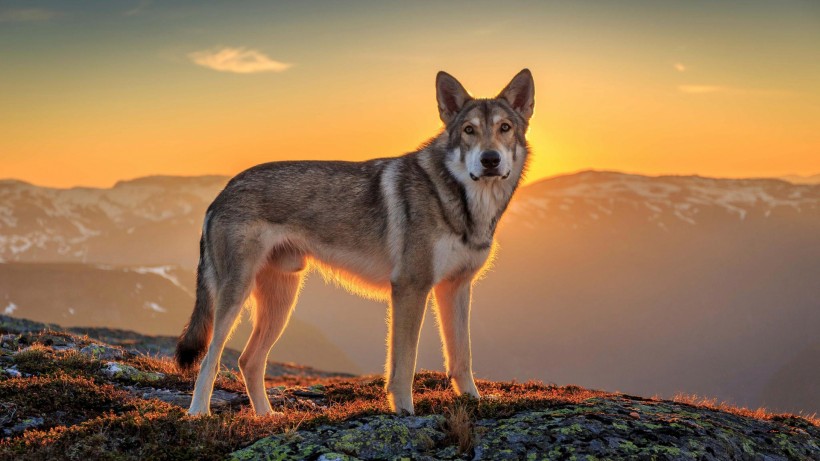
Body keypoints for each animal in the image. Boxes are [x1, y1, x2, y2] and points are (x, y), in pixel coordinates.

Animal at [175, 69, 536, 416]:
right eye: (469, 130)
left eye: (504, 128)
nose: (490, 159)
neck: (461, 200)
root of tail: (221, 192)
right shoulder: (410, 287)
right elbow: (404, 364)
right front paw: (404, 411)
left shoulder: (456, 287)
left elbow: (462, 357)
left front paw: (474, 402)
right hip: (236, 296)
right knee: (211, 359)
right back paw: (198, 414)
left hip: (282, 301)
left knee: (248, 361)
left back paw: (267, 416)